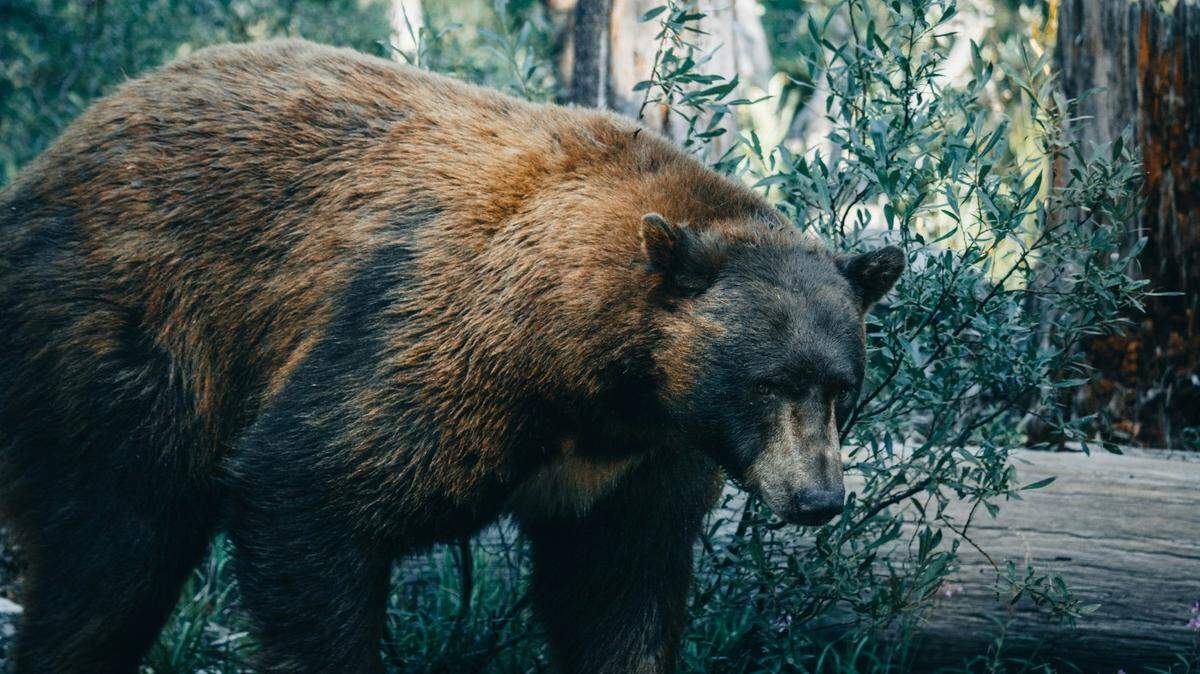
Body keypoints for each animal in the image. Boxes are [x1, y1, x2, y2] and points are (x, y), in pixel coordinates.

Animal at [0, 39, 903, 674]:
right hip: (128, 340)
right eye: (770, 382)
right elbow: (310, 485)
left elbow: (622, 591)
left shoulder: (640, 467)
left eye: (844, 387)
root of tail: (52, 156)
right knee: (113, 550)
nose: (818, 497)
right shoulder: (442, 349)